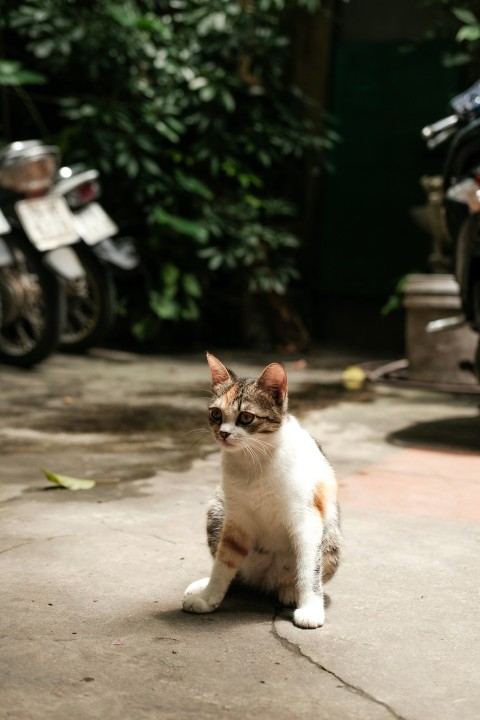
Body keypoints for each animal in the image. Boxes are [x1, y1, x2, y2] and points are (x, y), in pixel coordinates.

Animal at [181, 352, 342, 628]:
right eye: (216, 413)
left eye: (246, 417)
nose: (223, 433)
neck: (253, 460)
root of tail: (264, 582)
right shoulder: (236, 519)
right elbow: (224, 562)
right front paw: (209, 595)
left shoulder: (308, 520)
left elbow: (309, 568)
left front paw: (310, 608)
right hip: (218, 508)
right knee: (236, 575)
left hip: (331, 536)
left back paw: (290, 592)